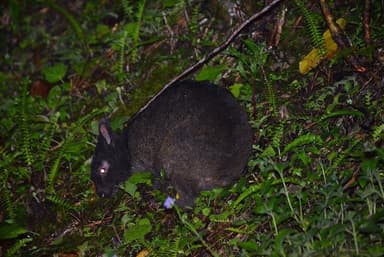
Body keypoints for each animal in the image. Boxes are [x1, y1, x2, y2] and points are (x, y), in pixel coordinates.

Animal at [90, 79, 252, 207]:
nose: (101, 193)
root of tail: (226, 175)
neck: (127, 148)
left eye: (102, 170)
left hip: (172, 159)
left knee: (189, 198)